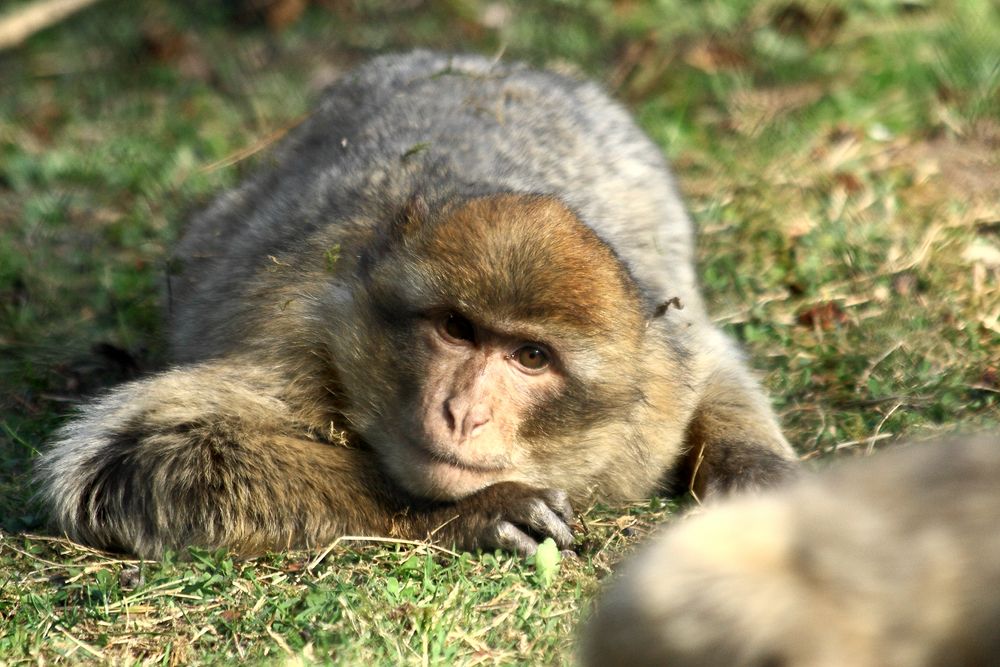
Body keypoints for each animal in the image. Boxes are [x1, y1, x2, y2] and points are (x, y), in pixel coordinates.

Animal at [37, 51, 796, 560]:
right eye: (457, 329)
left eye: (530, 356)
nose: (464, 412)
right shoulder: (299, 336)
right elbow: (126, 456)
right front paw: (474, 512)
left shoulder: (662, 383)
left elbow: (712, 358)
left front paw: (761, 476)